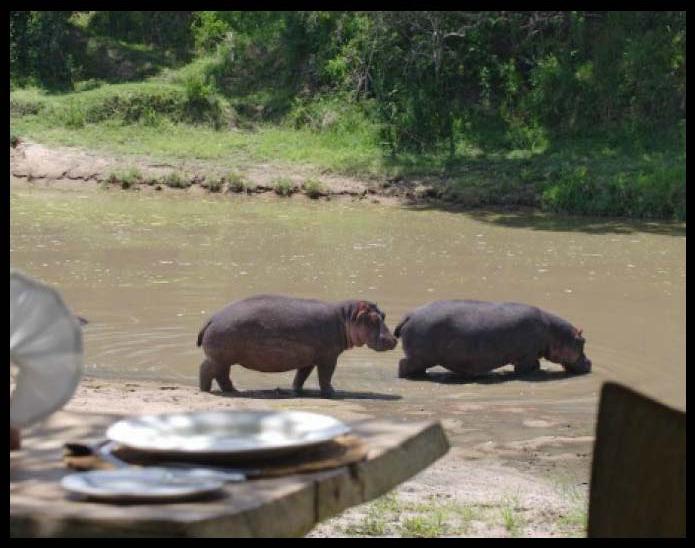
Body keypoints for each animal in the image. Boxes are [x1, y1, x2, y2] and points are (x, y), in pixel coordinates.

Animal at [198, 296, 400, 398]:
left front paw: (297, 390)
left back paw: (233, 390)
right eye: (373, 318)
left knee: (222, 375)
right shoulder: (328, 358)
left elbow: (301, 376)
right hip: (219, 358)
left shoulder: (309, 358)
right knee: (206, 369)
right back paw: (206, 390)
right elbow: (325, 376)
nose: (393, 339)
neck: (346, 318)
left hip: (224, 360)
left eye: (384, 314)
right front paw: (332, 392)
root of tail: (211, 318)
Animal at [394, 300, 588, 382]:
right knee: (403, 365)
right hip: (419, 357)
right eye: (584, 341)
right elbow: (530, 367)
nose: (589, 362)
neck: (554, 333)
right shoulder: (527, 356)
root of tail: (409, 315)